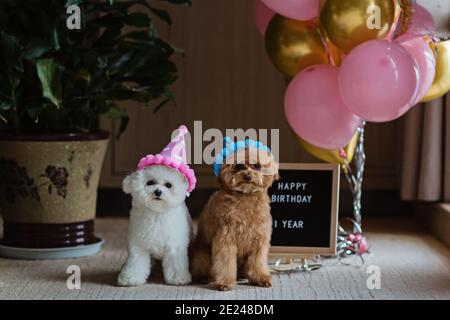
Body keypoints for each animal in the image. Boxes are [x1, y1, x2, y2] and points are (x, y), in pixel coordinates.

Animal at [118, 126, 197, 286]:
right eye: (150, 182)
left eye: (168, 185)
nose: (158, 192)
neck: (157, 213)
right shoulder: (139, 246)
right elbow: (136, 262)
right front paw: (130, 277)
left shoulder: (175, 246)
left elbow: (176, 263)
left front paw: (179, 278)